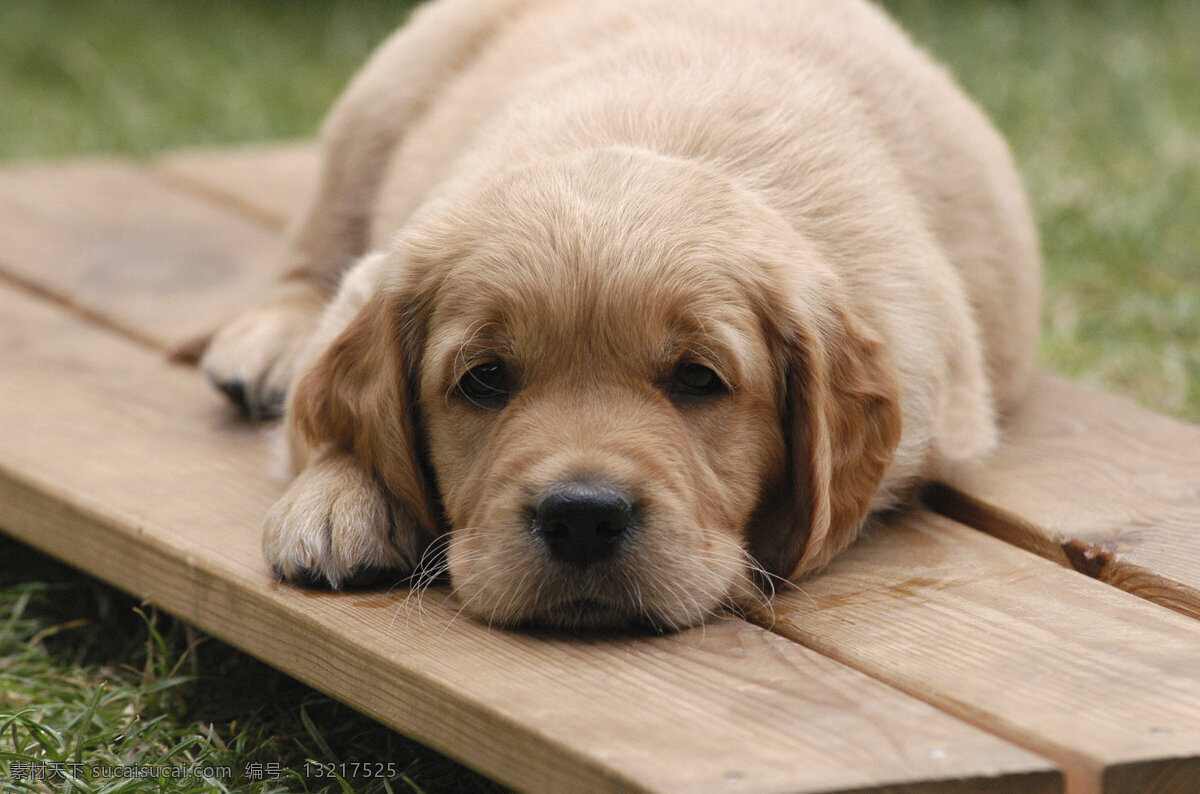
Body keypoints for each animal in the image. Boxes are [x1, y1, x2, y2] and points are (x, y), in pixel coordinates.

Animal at [199, 0, 1041, 633]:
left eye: (699, 380)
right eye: (483, 380)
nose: (581, 518)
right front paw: (340, 500)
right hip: (386, 89)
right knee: (317, 237)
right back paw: (266, 346)